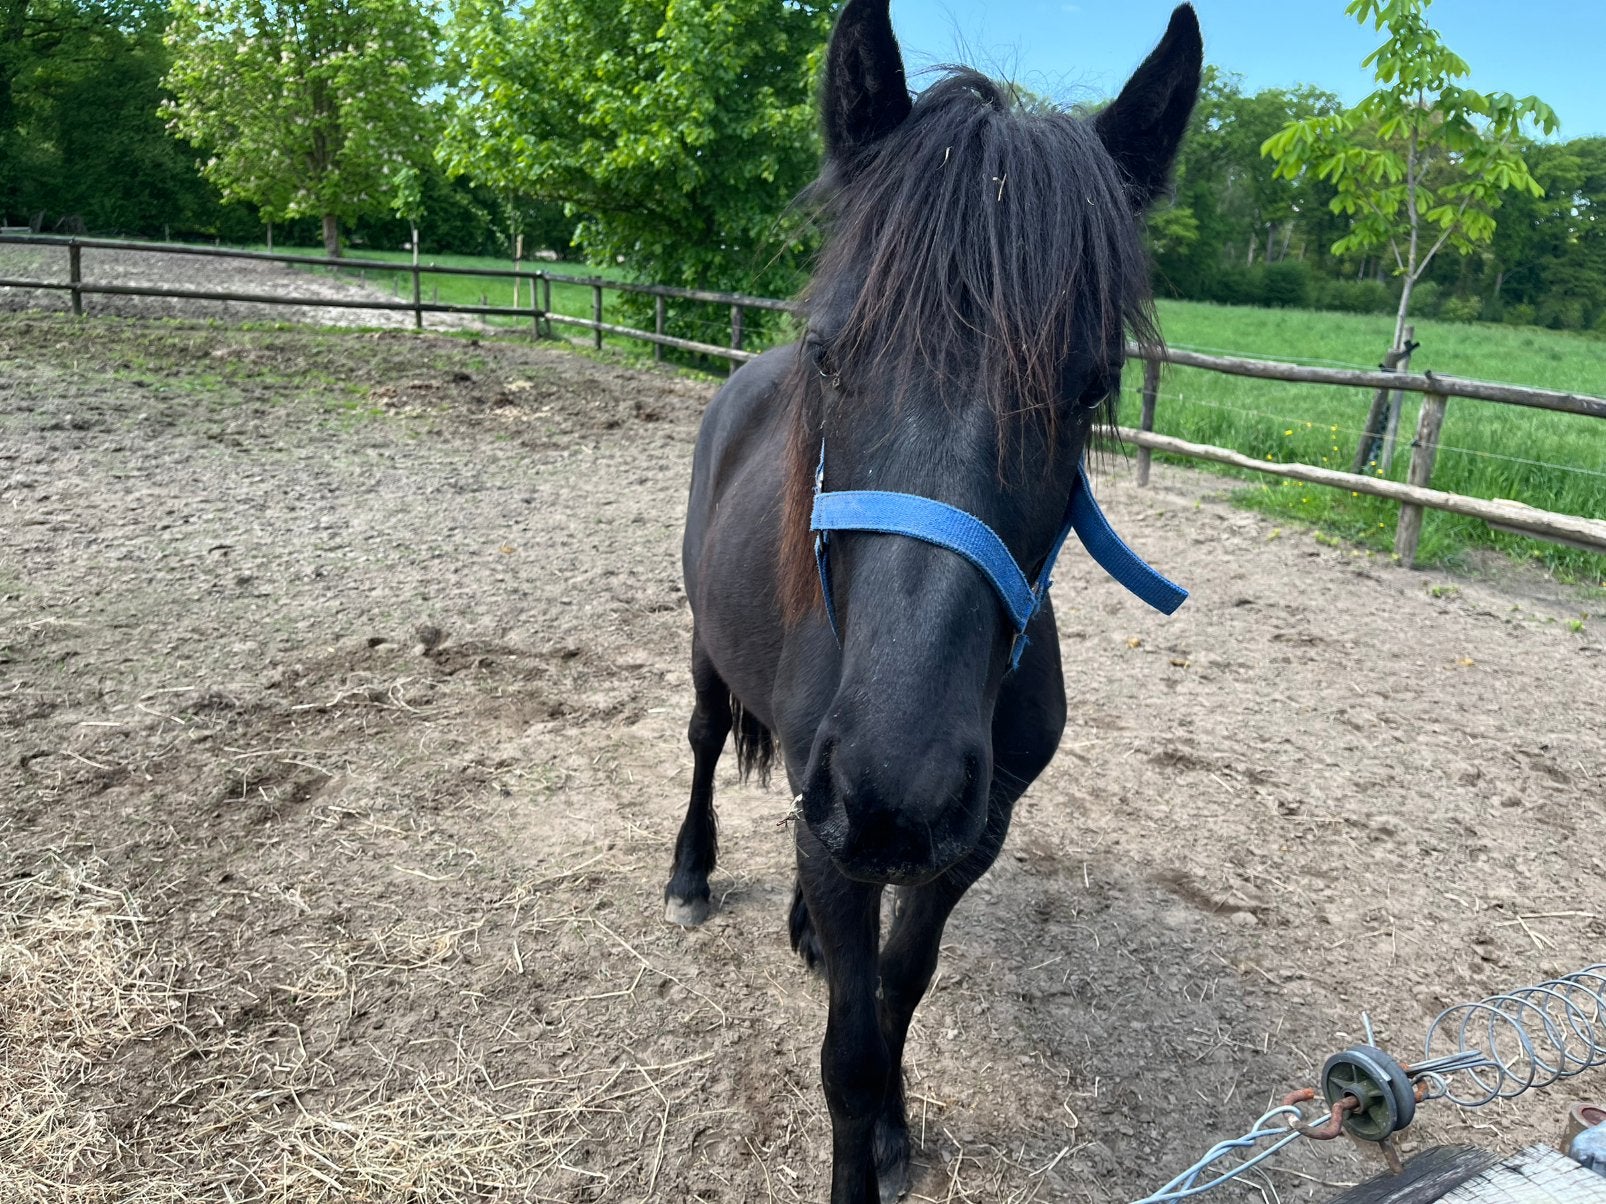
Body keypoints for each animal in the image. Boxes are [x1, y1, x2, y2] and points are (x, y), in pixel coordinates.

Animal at [663, 4, 1201, 1201]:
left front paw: (898, 1121)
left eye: (1090, 386)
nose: (893, 792)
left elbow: (898, 989)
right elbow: (849, 1055)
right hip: (711, 657)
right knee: (705, 740)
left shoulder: (971, 833)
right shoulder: (842, 823)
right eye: (831, 353)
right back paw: (688, 873)